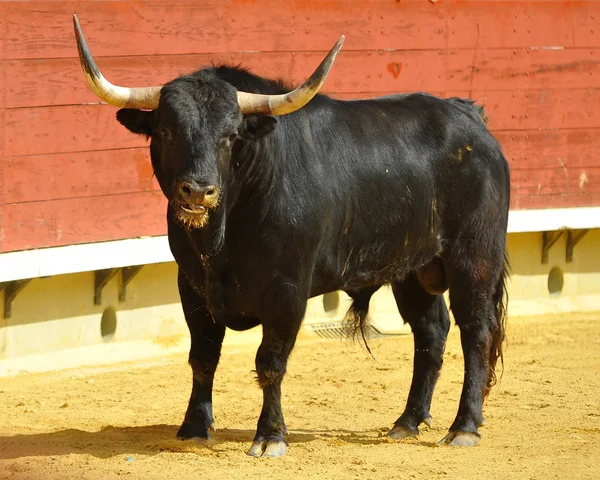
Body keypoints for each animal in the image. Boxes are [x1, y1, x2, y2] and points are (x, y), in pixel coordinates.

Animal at [72, 20, 508, 460]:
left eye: (232, 135)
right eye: (165, 129)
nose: (197, 190)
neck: (227, 230)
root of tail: (470, 116)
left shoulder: (287, 291)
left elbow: (270, 362)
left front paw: (270, 435)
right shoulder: (192, 286)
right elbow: (203, 357)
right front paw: (195, 427)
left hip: (474, 257)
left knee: (476, 330)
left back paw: (464, 426)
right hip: (412, 268)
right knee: (431, 330)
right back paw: (408, 422)